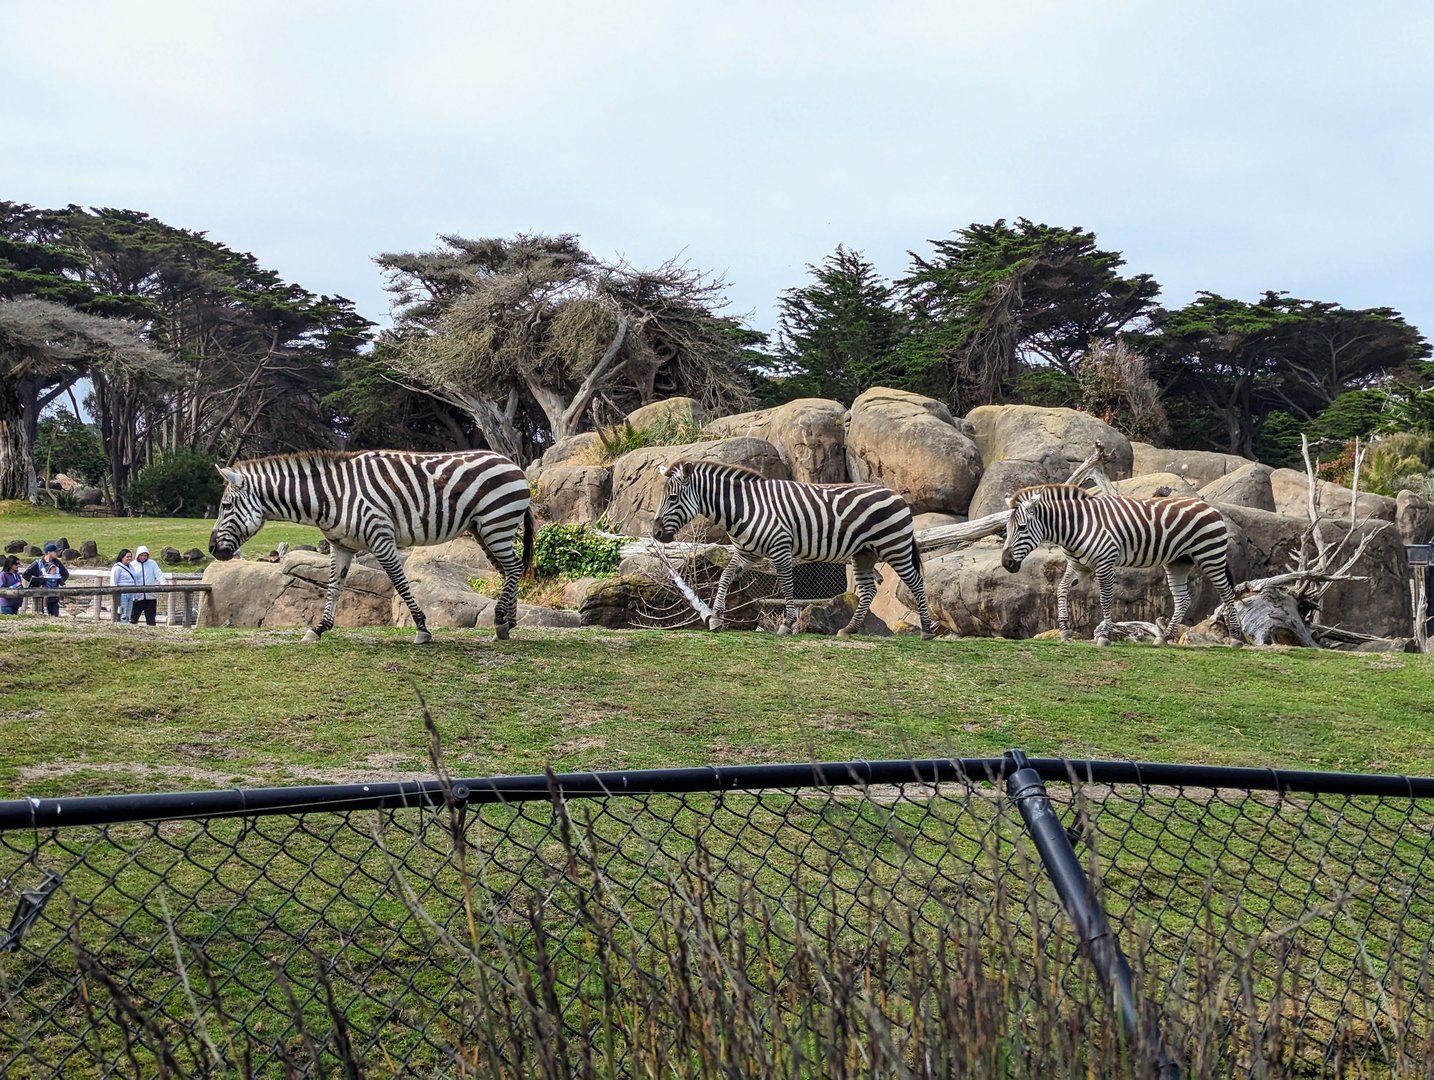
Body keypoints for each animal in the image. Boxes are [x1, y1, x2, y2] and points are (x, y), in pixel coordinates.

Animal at [208, 450, 534, 644]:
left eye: (225, 506)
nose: (211, 549)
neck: (330, 497)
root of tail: (512, 463)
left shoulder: (381, 537)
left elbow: (400, 583)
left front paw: (422, 629)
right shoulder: (340, 545)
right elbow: (333, 588)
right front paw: (318, 629)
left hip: (496, 522)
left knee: (515, 567)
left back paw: (500, 622)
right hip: (484, 529)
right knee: (508, 570)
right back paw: (508, 624)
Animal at [651, 459, 936, 639]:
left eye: (672, 498)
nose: (655, 533)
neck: (743, 507)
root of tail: (896, 494)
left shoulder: (780, 547)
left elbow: (788, 586)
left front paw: (786, 625)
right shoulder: (747, 552)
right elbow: (725, 576)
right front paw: (716, 618)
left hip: (894, 546)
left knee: (915, 583)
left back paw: (926, 630)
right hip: (864, 553)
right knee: (868, 590)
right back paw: (849, 629)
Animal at [1000, 483, 1246, 647]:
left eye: (1022, 527)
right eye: (1007, 528)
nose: (1006, 562)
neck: (1077, 526)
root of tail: (1210, 506)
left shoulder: (1105, 562)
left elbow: (1105, 598)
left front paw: (1104, 636)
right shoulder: (1078, 565)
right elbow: (1061, 590)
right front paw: (1064, 631)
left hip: (1210, 555)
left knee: (1227, 593)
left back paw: (1235, 638)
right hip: (1178, 562)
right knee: (1183, 599)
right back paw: (1164, 638)